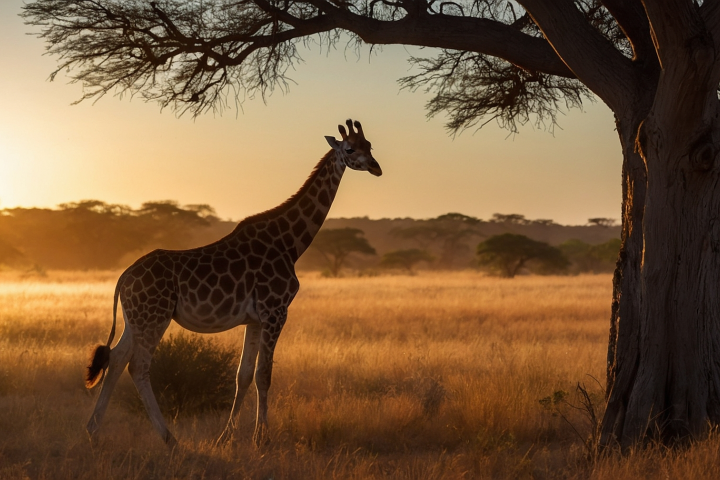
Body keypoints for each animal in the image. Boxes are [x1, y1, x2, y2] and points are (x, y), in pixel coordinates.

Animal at [84, 119, 382, 447]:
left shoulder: (255, 318)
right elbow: (264, 374)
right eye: (350, 149)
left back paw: (93, 431)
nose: (376, 168)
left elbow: (244, 375)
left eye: (370, 145)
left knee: (116, 359)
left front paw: (226, 437)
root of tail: (124, 277)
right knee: (138, 365)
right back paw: (169, 439)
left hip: (135, 319)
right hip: (155, 317)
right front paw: (262, 439)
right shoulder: (275, 311)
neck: (290, 242)